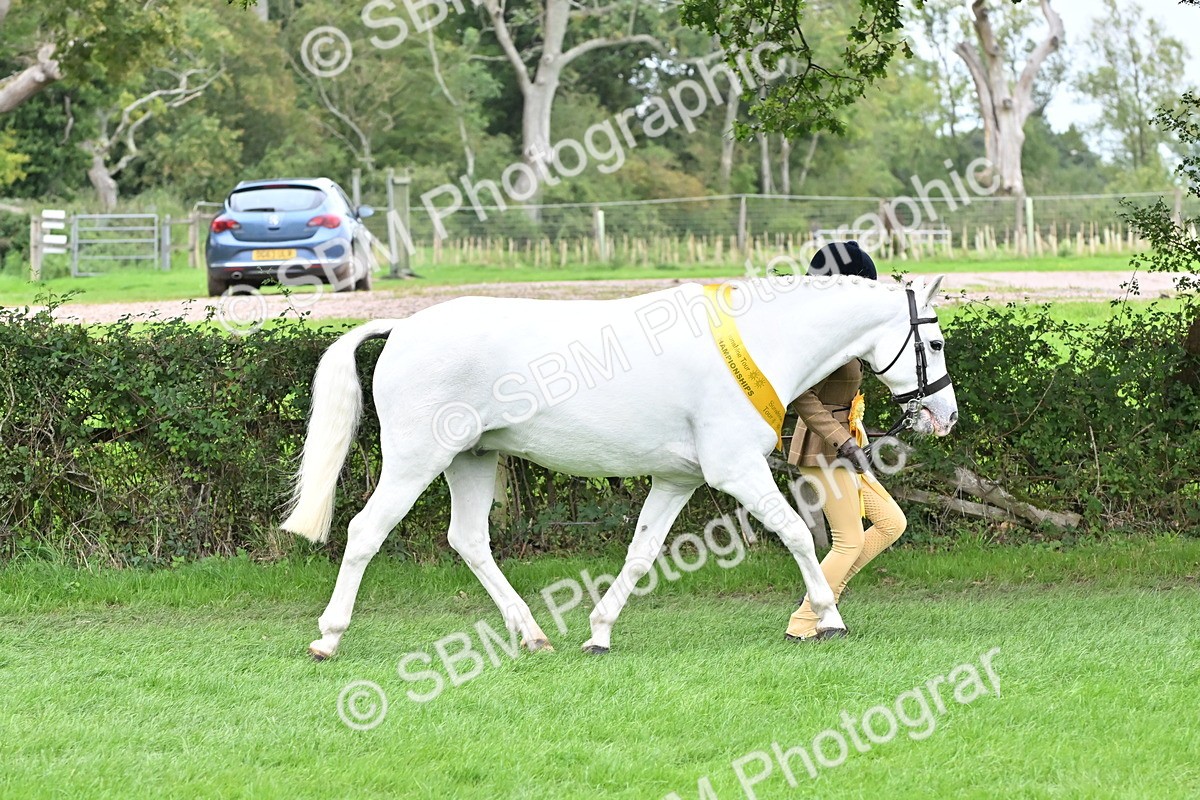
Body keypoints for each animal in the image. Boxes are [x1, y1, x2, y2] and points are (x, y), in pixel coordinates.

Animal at [281, 274, 958, 659]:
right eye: (934, 342)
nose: (943, 416)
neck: (760, 343)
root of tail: (402, 328)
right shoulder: (736, 470)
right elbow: (795, 533)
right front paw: (829, 618)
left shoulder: (678, 479)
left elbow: (641, 553)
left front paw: (599, 633)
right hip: (415, 461)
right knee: (365, 533)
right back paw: (327, 638)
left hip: (471, 459)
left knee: (469, 540)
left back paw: (534, 635)